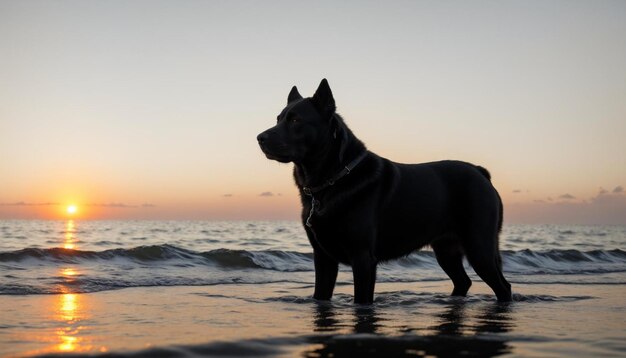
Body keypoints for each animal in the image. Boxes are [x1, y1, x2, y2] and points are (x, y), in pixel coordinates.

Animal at [256, 78, 510, 302]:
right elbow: (321, 296)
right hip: (447, 250)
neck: (332, 180)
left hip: (479, 245)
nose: (260, 137)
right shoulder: (323, 257)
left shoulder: (363, 258)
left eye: (295, 120)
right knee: (463, 281)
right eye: (278, 119)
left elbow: (361, 301)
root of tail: (480, 172)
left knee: (503, 286)